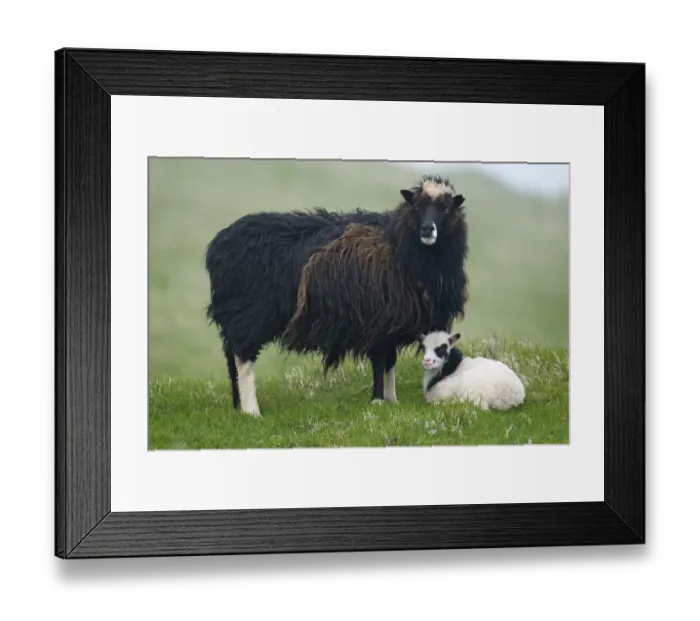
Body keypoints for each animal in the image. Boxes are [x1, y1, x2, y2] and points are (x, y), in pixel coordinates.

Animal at [205, 207, 390, 416]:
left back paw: (238, 406)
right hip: (248, 315)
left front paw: (389, 399)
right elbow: (381, 360)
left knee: (231, 357)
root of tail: (219, 245)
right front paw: (381, 400)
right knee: (242, 357)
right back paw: (252, 411)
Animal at [280, 174, 469, 404]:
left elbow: (391, 361)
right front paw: (378, 399)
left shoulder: (393, 324)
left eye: (447, 209)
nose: (427, 229)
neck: (397, 249)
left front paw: (392, 399)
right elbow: (380, 362)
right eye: (416, 206)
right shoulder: (378, 321)